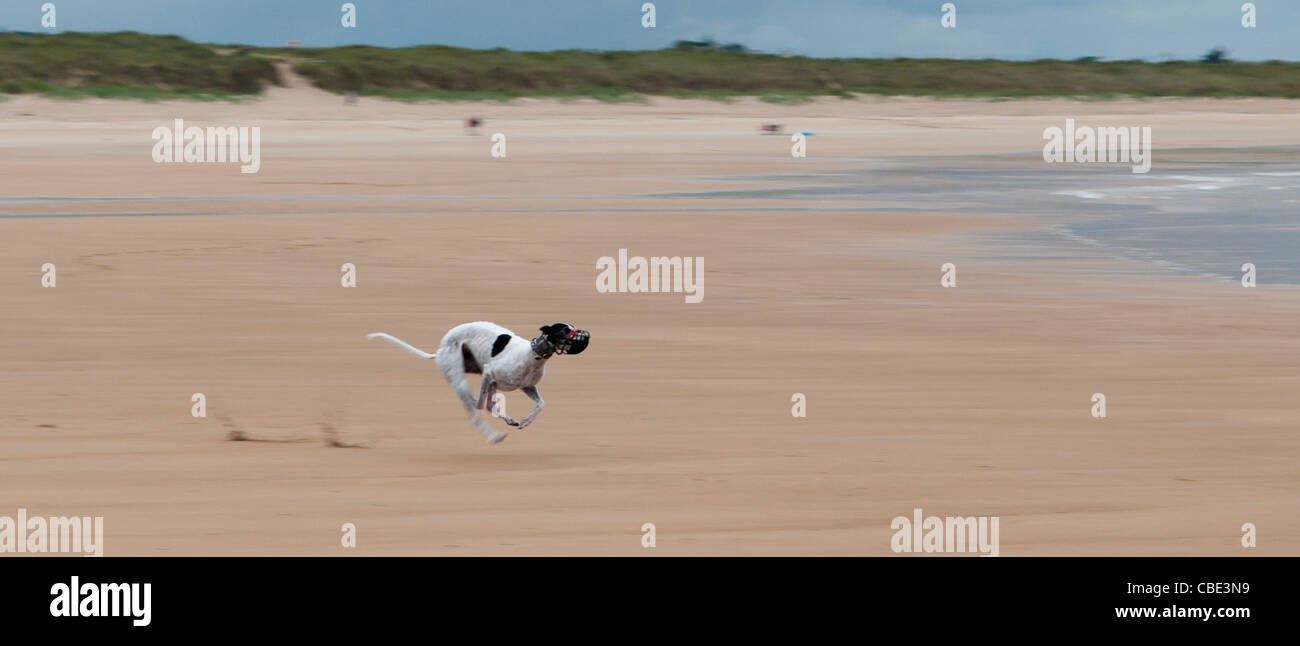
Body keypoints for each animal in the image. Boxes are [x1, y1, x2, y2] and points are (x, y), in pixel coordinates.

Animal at [366, 319, 590, 441]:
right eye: (563, 330)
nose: (585, 337)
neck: (532, 355)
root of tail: (440, 348)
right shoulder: (490, 373)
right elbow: (481, 405)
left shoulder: (526, 386)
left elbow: (541, 404)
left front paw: (526, 421)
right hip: (460, 378)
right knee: (476, 411)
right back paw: (493, 436)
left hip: (483, 377)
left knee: (490, 405)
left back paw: (508, 421)